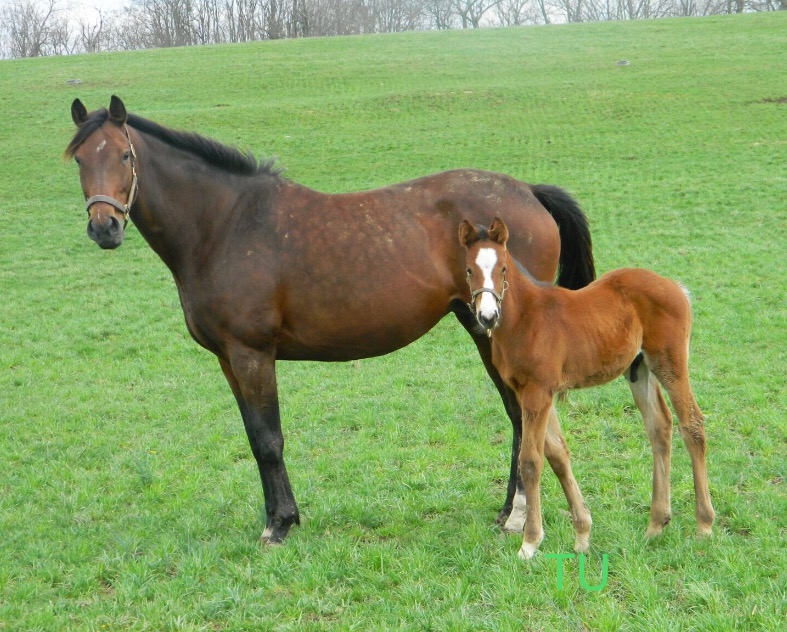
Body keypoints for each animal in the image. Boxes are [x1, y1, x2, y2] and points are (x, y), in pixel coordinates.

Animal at [67, 95, 596, 544]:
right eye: (79, 158)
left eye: (125, 157)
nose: (104, 227)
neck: (224, 225)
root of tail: (528, 192)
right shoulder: (227, 359)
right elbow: (253, 437)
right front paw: (279, 516)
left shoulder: (252, 354)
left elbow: (268, 439)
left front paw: (279, 525)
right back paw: (508, 513)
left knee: (522, 417)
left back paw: (518, 516)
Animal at [462, 220, 716, 560]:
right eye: (468, 270)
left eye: (503, 268)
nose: (487, 316)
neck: (526, 318)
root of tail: (675, 286)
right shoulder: (531, 393)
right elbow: (557, 455)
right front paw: (582, 534)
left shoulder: (537, 393)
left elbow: (530, 460)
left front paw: (530, 542)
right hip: (639, 369)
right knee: (659, 427)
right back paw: (655, 525)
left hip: (669, 362)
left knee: (692, 424)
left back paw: (704, 525)